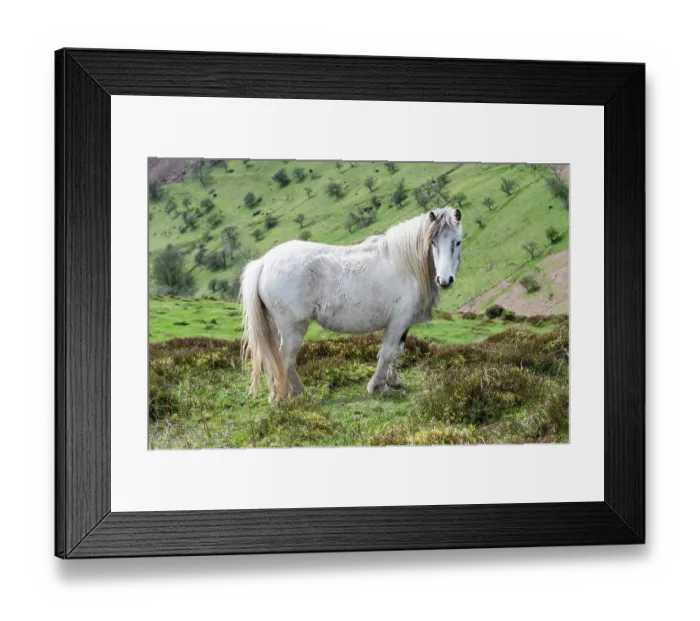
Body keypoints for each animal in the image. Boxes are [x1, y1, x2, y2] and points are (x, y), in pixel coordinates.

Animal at [240, 207, 463, 402]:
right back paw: (300, 395)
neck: (406, 266)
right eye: (432, 242)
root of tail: (264, 262)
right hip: (293, 328)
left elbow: (396, 351)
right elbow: (387, 352)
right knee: (285, 359)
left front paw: (393, 381)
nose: (445, 280)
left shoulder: (403, 323)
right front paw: (377, 386)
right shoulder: (398, 321)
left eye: (458, 242)